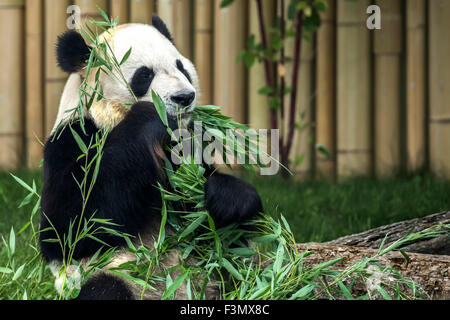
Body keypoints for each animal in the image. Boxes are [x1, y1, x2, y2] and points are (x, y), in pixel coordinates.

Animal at [40, 15, 264, 300]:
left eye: (181, 67)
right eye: (144, 75)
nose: (184, 97)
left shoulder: (185, 149)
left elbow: (209, 213)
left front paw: (229, 197)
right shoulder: (74, 138)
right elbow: (69, 227)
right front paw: (150, 116)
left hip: (221, 271)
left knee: (245, 271)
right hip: (120, 276)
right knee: (106, 289)